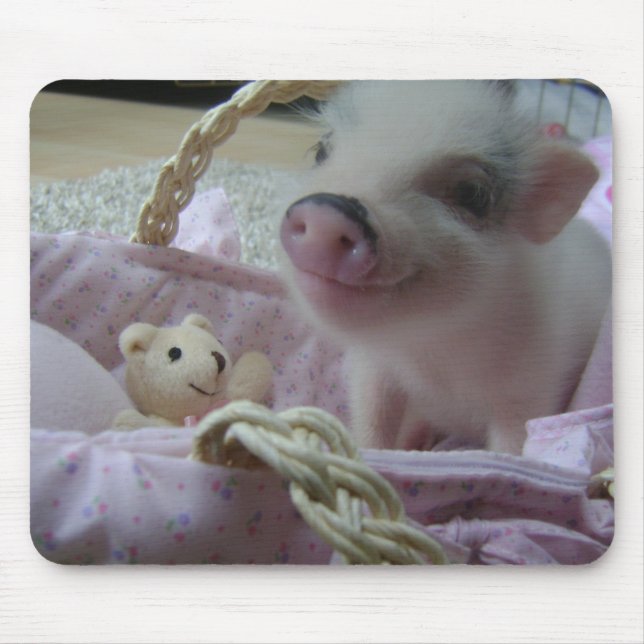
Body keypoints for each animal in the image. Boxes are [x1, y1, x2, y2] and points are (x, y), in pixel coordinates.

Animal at [277, 81, 611, 454]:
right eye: (322, 151)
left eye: (472, 193)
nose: (326, 211)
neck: (433, 354)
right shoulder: (373, 367)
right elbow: (372, 419)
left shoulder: (532, 386)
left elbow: (511, 449)